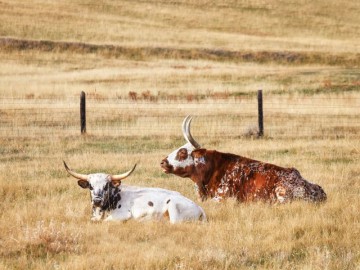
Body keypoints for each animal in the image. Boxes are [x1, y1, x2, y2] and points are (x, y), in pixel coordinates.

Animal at [63, 161, 207, 223]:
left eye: (106, 186)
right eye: (91, 186)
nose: (97, 201)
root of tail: (200, 208)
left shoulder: (121, 215)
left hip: (173, 208)